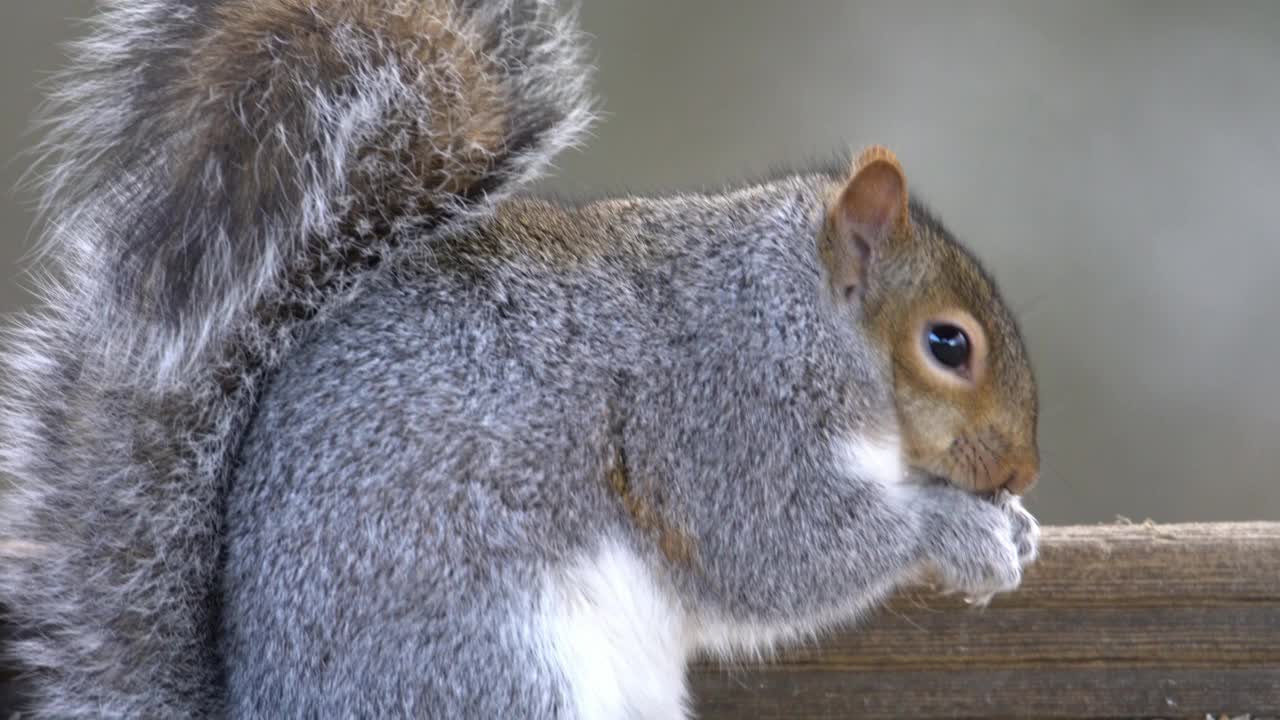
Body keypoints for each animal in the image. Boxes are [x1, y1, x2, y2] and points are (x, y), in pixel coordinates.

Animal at [0, 1, 1034, 717]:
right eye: (948, 344)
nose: (1023, 471)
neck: (794, 313)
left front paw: (1014, 527)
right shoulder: (717, 405)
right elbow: (774, 547)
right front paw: (959, 532)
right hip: (499, 668)